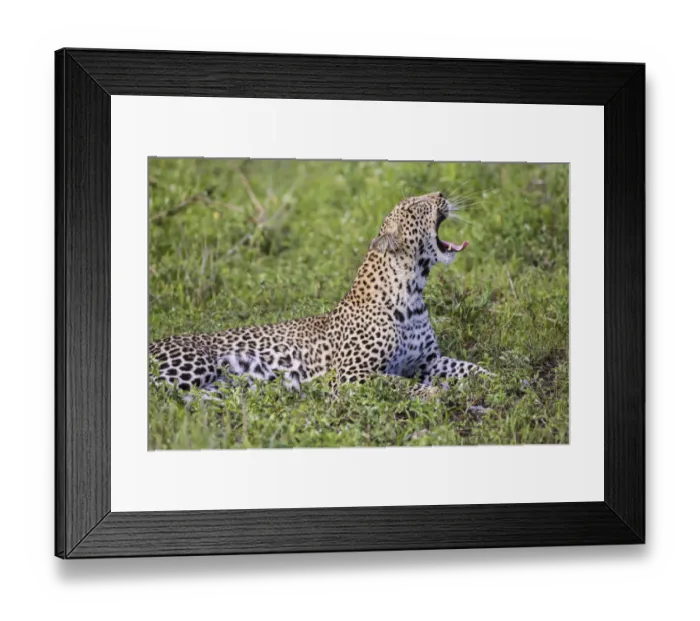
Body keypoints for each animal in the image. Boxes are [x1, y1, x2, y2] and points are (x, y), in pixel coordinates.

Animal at [148, 191, 491, 399]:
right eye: (416, 206)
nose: (441, 195)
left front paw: (494, 379)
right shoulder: (350, 375)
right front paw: (433, 393)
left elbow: (468, 367)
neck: (412, 293)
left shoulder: (429, 360)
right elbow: (396, 382)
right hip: (193, 366)